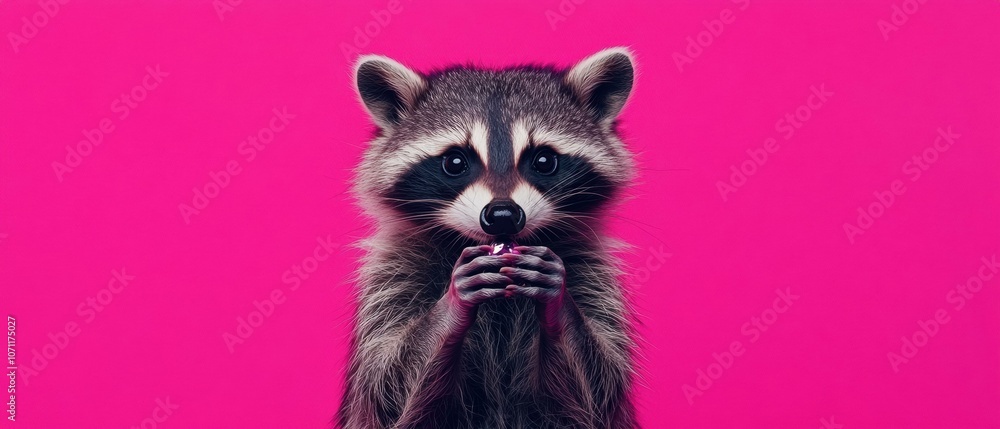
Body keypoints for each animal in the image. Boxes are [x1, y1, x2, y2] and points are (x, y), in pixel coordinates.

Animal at [338, 48, 639, 429]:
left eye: (544, 160)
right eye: (454, 162)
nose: (502, 215)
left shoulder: (592, 271)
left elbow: (595, 391)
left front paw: (558, 305)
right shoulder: (393, 273)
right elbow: (388, 390)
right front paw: (450, 308)